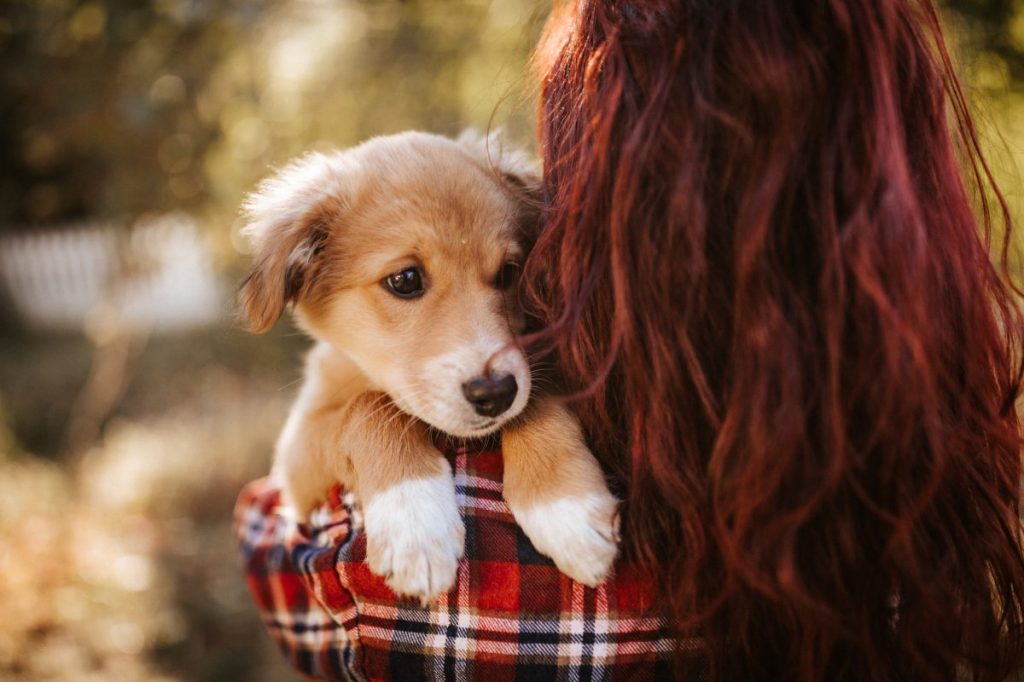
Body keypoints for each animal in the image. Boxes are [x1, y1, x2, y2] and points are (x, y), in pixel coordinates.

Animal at [241, 130, 614, 598]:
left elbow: (534, 395)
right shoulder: (298, 463)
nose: (495, 395)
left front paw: (565, 507)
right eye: (405, 280)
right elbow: (370, 406)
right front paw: (414, 525)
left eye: (510, 272)